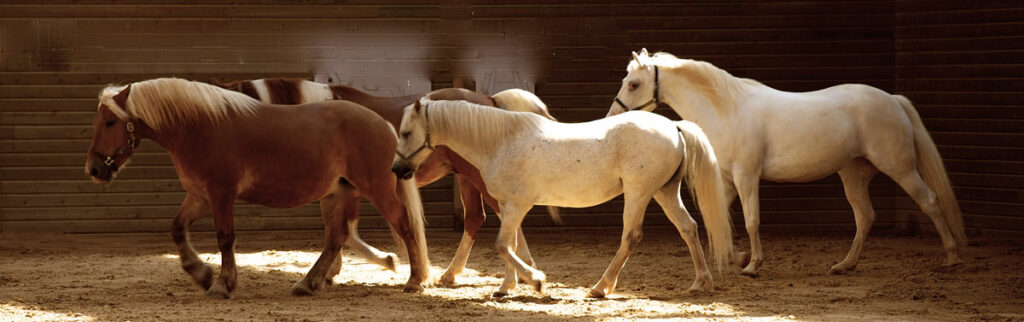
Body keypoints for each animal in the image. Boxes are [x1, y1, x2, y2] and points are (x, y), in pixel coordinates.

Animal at [82, 76, 428, 297]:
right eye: (98, 122)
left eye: (110, 123)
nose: (94, 169)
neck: (199, 126)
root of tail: (383, 124)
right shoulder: (199, 196)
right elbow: (178, 229)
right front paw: (202, 274)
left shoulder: (220, 194)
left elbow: (225, 238)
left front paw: (222, 284)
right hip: (336, 193)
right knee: (336, 238)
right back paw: (308, 283)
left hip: (376, 190)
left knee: (404, 225)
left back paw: (415, 281)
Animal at [216, 77, 561, 285]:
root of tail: (489, 99)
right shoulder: (343, 189)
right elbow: (340, 230)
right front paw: (333, 270)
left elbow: (346, 231)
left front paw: (384, 261)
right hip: (466, 178)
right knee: (479, 218)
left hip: (475, 176)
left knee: (500, 216)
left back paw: (507, 276)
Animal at [391, 99, 737, 297]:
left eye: (406, 133)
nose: (397, 169)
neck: (501, 142)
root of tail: (674, 126)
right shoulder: (508, 206)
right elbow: (510, 244)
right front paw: (505, 288)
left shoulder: (517, 205)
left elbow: (502, 245)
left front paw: (536, 281)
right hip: (664, 191)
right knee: (689, 228)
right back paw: (701, 283)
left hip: (639, 193)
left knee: (631, 236)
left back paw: (600, 288)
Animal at [606, 48, 966, 274]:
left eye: (633, 83)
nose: (612, 116)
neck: (728, 111)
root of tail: (893, 99)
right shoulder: (729, 181)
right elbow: (723, 219)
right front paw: (738, 257)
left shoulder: (747, 176)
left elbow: (751, 220)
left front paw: (753, 265)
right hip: (853, 175)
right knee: (865, 217)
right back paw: (844, 266)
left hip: (900, 169)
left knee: (930, 202)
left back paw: (952, 257)